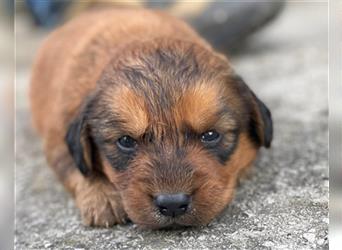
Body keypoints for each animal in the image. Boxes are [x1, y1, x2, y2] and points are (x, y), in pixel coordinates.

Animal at [31, 8, 272, 229]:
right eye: (126, 141)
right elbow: (74, 166)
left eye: (211, 135)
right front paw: (102, 197)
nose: (172, 204)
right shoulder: (57, 135)